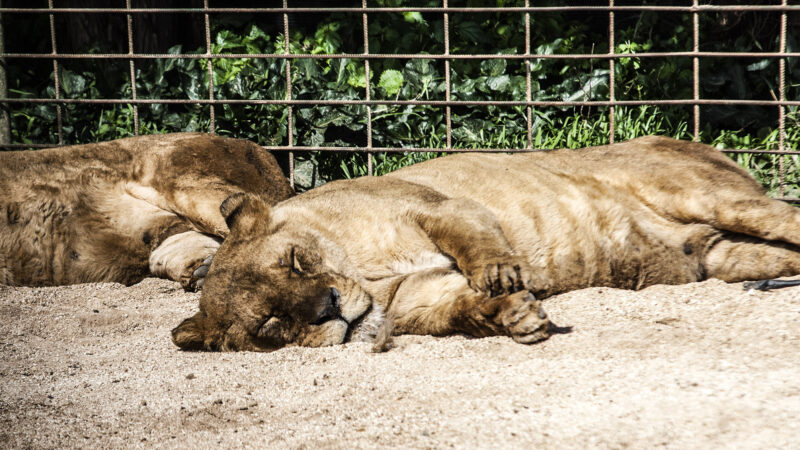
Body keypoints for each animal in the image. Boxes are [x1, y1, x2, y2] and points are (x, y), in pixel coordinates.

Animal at [171, 136, 800, 351]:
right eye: (271, 325)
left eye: (297, 261)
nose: (328, 308)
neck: (368, 275)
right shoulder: (420, 300)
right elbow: (465, 311)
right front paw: (515, 316)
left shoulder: (438, 205)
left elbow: (472, 239)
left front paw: (500, 275)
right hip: (722, 254)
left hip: (714, 199)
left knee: (787, 217)